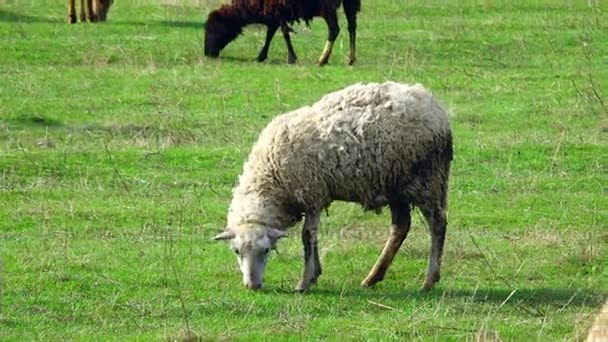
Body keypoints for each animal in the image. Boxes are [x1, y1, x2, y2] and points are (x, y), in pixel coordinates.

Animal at [203, 0, 360, 65]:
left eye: (213, 30)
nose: (208, 54)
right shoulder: (273, 13)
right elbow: (270, 34)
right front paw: (261, 56)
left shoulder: (279, 11)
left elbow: (284, 34)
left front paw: (291, 58)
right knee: (352, 27)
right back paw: (351, 59)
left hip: (326, 6)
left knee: (334, 29)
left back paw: (322, 60)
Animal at [214, 81, 452, 292]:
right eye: (236, 251)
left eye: (266, 251)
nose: (253, 286)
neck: (271, 176)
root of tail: (435, 107)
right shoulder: (315, 197)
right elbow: (313, 237)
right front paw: (315, 273)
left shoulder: (312, 194)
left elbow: (307, 236)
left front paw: (305, 281)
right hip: (394, 184)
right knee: (401, 227)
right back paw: (373, 278)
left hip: (426, 179)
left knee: (437, 224)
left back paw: (429, 280)